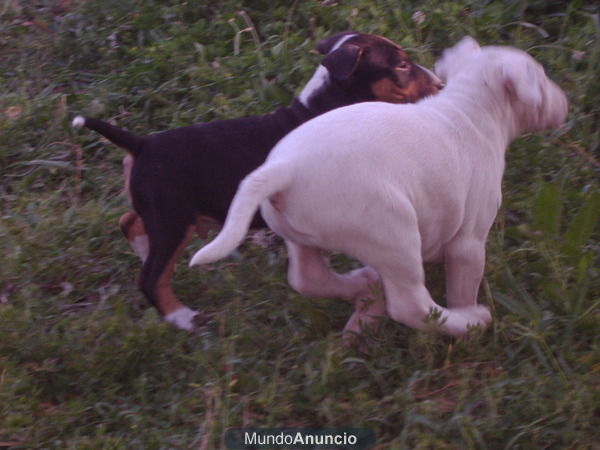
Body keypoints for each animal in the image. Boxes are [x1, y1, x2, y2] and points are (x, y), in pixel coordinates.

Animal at [72, 29, 442, 328]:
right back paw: (183, 318)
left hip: (159, 211)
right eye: (402, 65)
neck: (330, 103)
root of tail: (141, 144)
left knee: (129, 221)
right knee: (150, 276)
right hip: (172, 216)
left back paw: (142, 248)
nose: (440, 85)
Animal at [191, 37, 568, 336]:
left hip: (301, 235)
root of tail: (284, 169)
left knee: (307, 277)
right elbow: (464, 283)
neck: (471, 106)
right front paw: (466, 311)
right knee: (412, 306)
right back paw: (470, 322)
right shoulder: (470, 240)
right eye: (541, 77)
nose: (565, 102)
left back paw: (362, 285)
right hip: (394, 232)